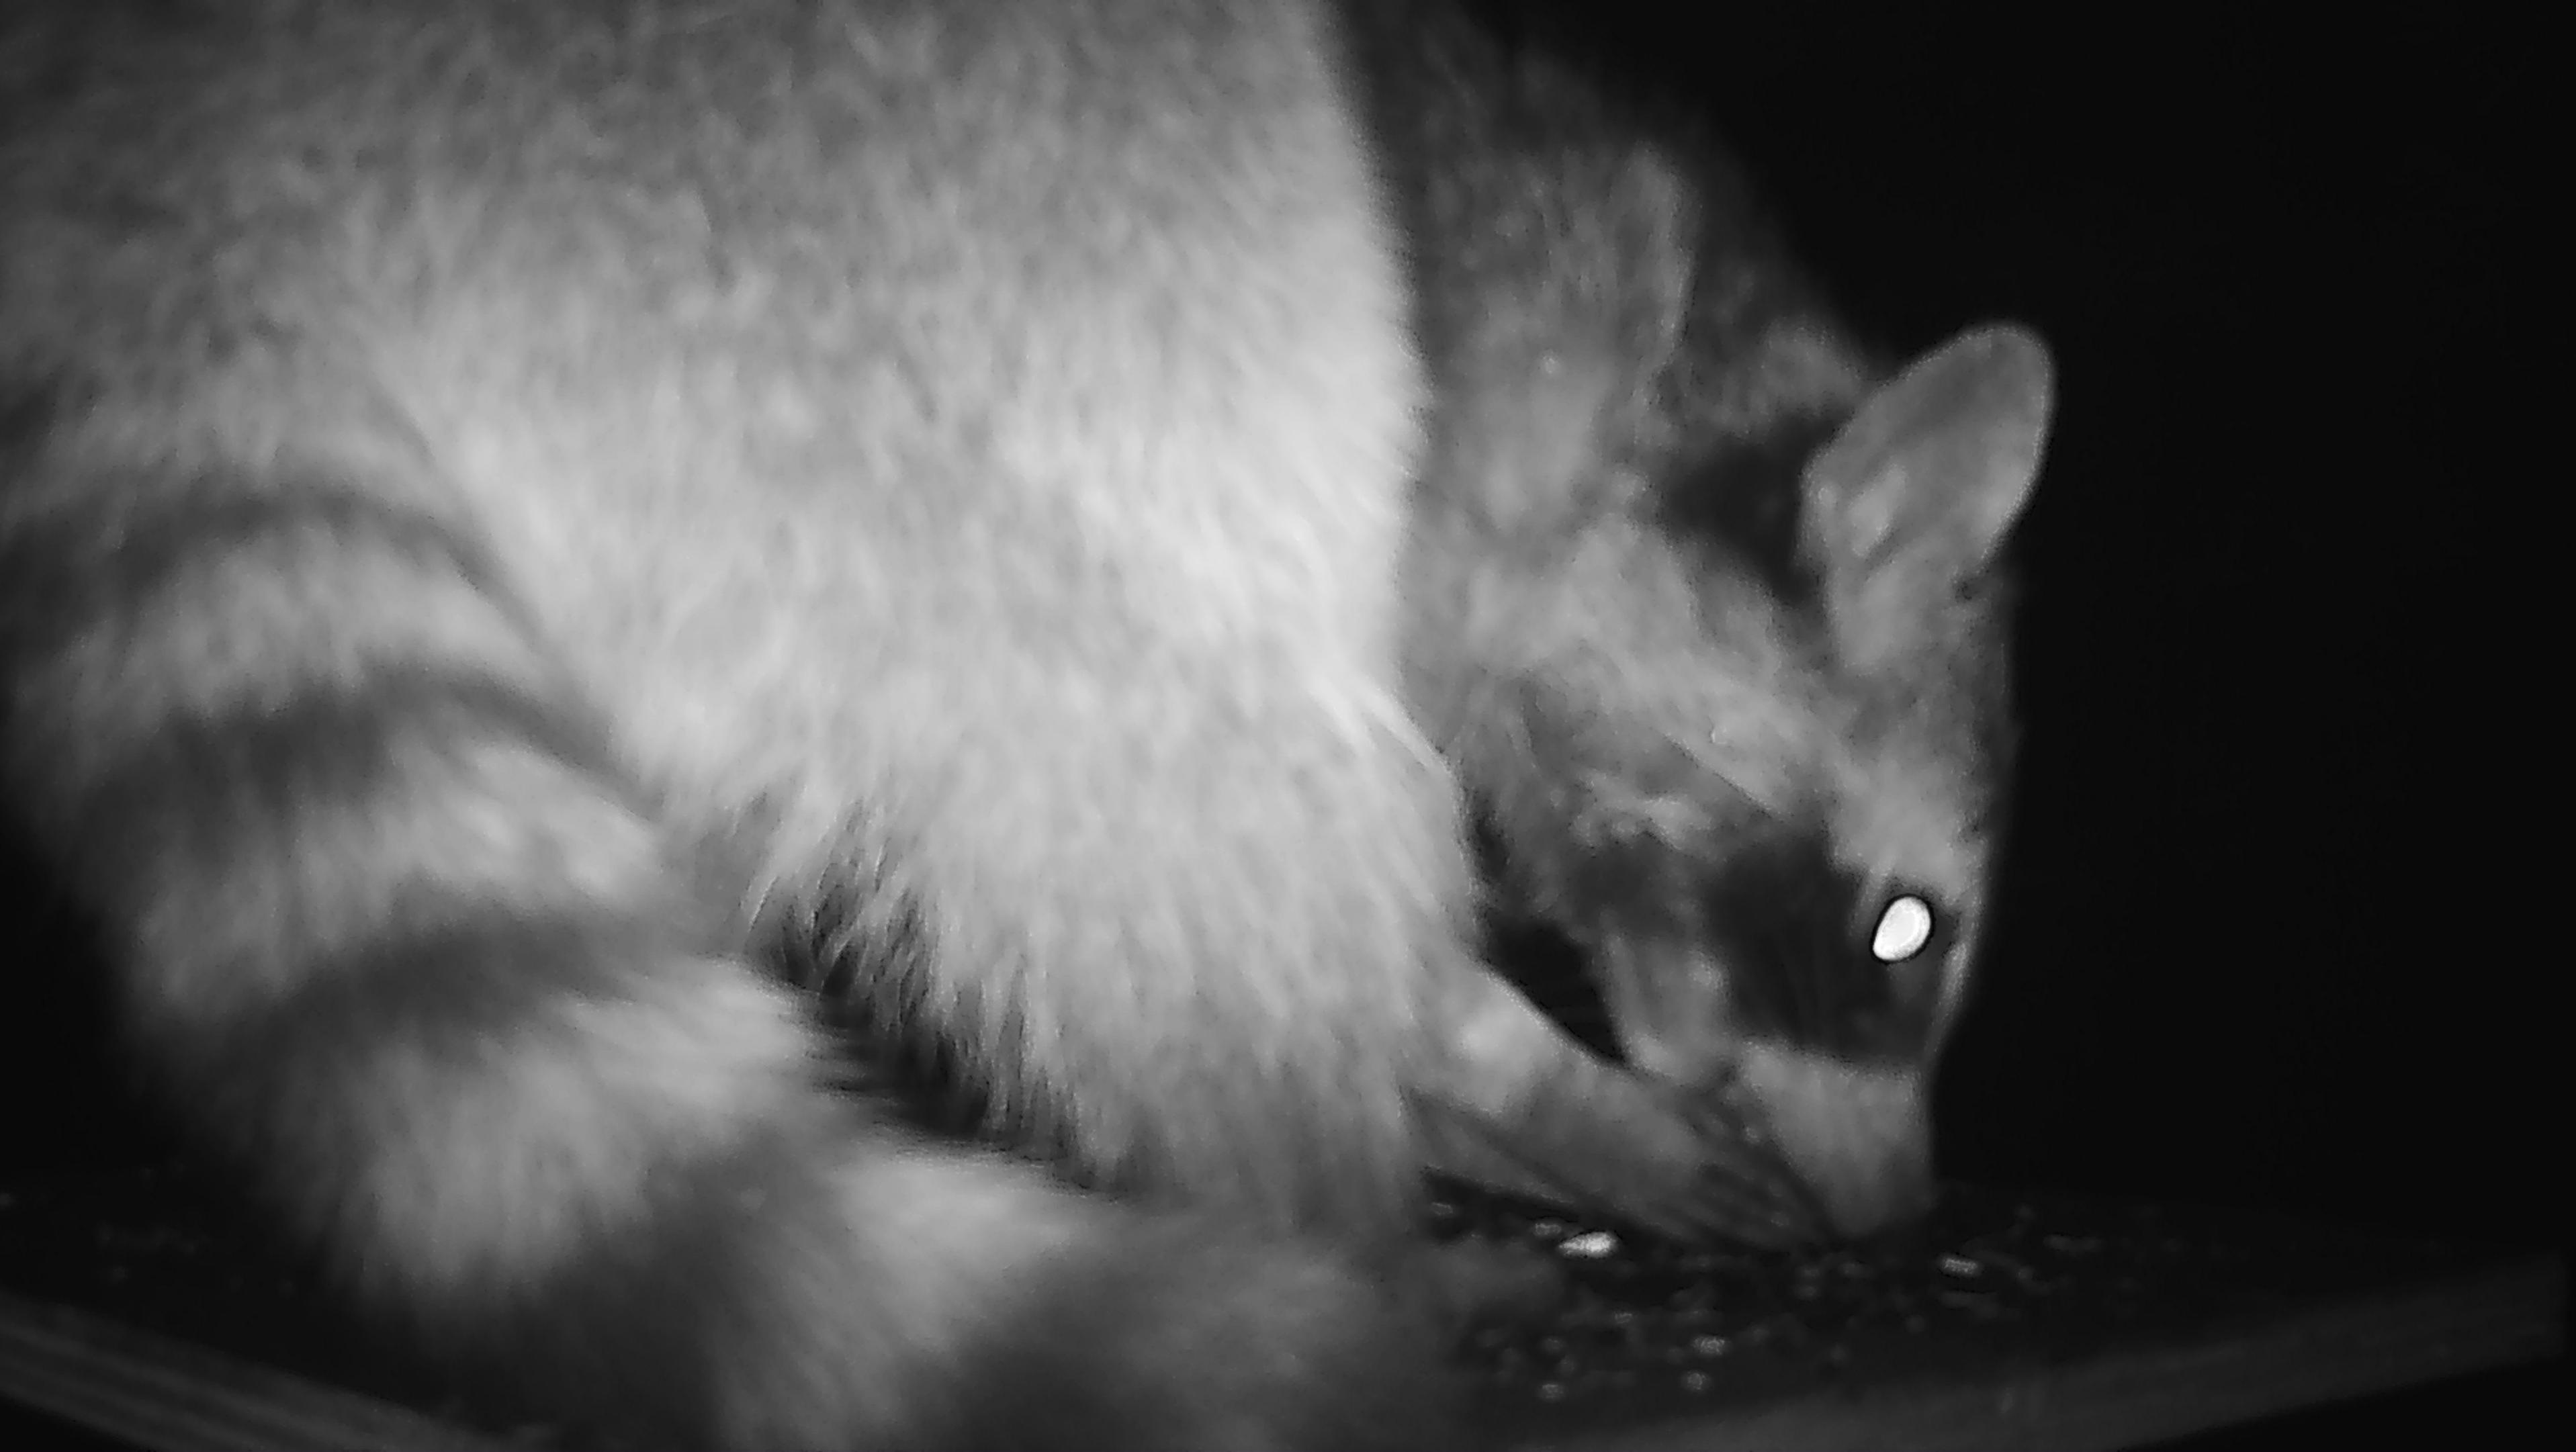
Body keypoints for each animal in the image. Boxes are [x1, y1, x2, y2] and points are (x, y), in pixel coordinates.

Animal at [0, 0, 2049, 1447]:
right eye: (1903, 932)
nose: (1899, 1214)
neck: (1609, 363)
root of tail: (177, 170)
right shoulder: (1416, 447)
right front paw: (1506, 1078)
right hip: (935, 235)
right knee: (1177, 720)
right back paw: (1336, 1225)